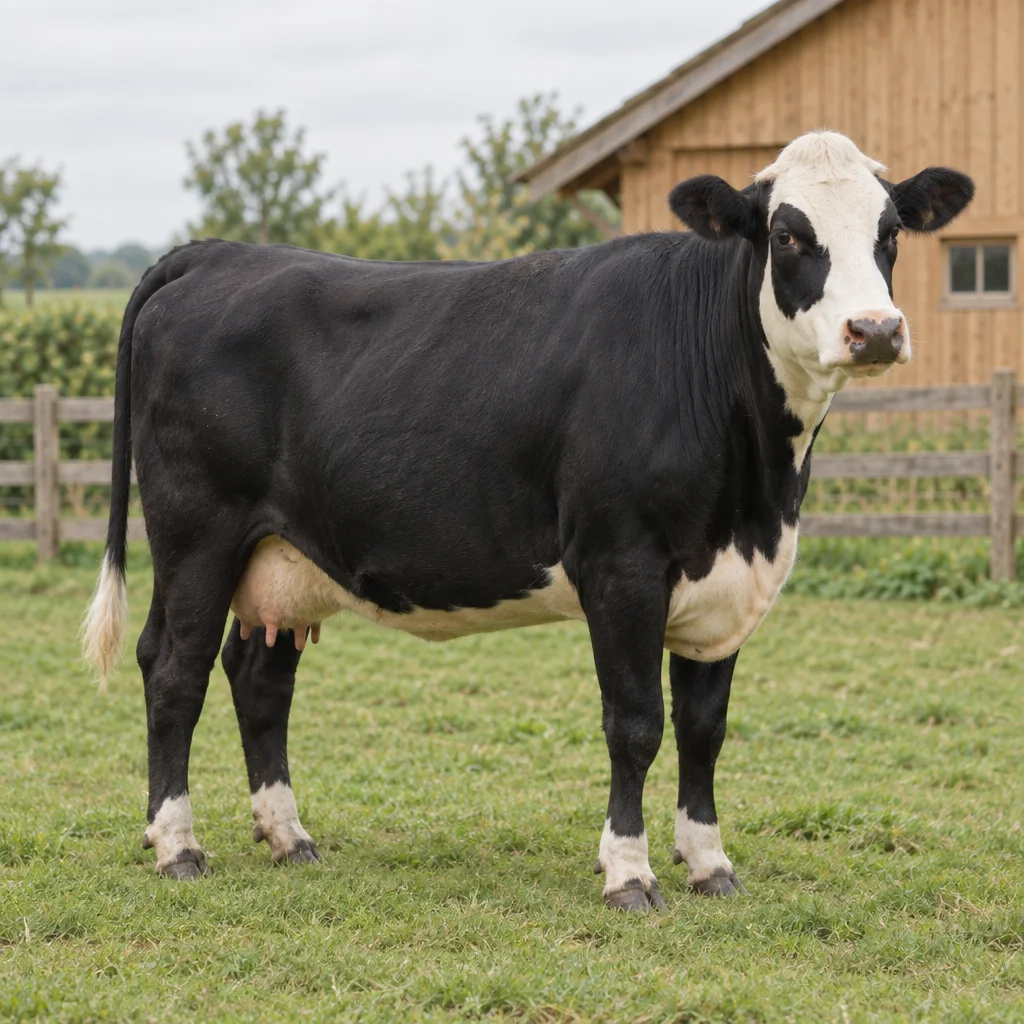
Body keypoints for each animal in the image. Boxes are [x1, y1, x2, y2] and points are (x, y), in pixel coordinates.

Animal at [82, 132, 973, 910]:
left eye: (891, 233)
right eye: (788, 234)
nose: (876, 330)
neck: (756, 487)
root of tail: (220, 252)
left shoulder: (727, 580)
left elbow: (705, 728)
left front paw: (710, 864)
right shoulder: (621, 564)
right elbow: (636, 725)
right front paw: (629, 874)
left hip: (282, 553)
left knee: (259, 677)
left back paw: (287, 836)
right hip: (196, 532)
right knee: (174, 669)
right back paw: (177, 846)